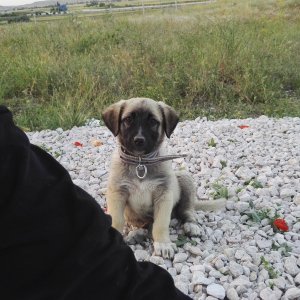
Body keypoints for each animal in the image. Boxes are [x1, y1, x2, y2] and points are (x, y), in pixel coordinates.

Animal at [102, 98, 224, 258]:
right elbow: (116, 219)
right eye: (128, 120)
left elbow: (161, 224)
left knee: (187, 211)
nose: (139, 140)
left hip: (184, 178)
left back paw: (191, 226)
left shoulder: (164, 194)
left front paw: (163, 244)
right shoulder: (117, 193)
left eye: (153, 121)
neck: (141, 162)